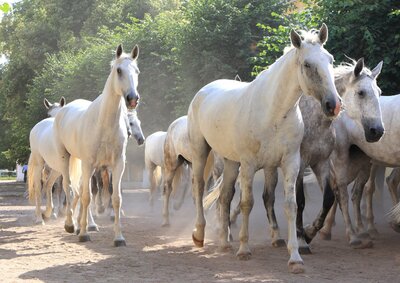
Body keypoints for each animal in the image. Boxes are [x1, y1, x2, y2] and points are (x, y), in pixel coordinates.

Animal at [53, 45, 141, 246]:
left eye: (137, 71)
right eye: (119, 70)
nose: (132, 98)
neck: (104, 123)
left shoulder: (117, 164)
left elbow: (116, 198)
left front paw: (119, 237)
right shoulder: (89, 163)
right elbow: (87, 196)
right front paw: (84, 234)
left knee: (79, 190)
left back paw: (82, 224)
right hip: (66, 159)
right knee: (70, 189)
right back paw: (71, 225)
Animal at [188, 25, 340, 276]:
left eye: (330, 59)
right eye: (307, 64)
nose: (333, 105)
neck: (274, 112)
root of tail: (203, 91)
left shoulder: (290, 163)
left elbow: (291, 205)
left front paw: (295, 257)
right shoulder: (249, 165)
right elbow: (247, 203)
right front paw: (244, 250)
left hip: (231, 162)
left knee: (224, 197)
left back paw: (224, 243)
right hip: (201, 152)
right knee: (199, 188)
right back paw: (200, 234)